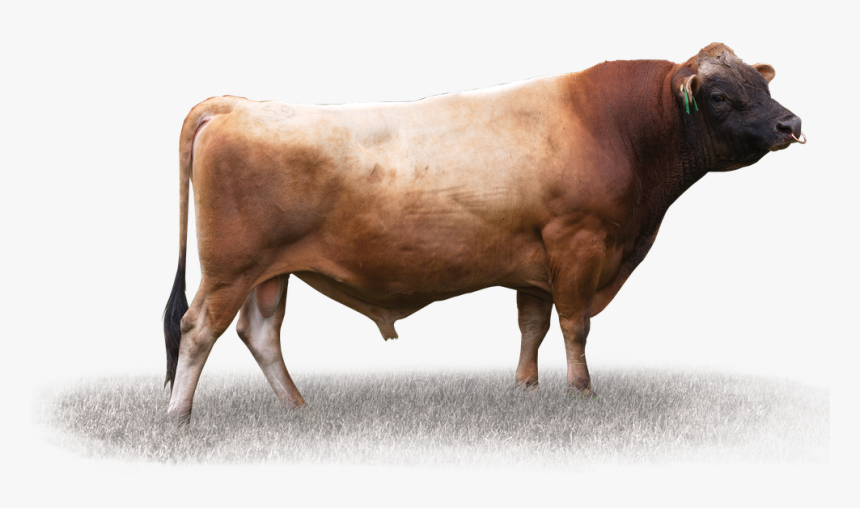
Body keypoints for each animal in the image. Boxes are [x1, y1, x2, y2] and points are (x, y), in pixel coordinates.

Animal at [163, 43, 803, 423]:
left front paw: (525, 390)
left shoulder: (536, 260)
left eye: (764, 86)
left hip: (271, 271)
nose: (790, 123)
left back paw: (298, 409)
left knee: (260, 333)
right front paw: (581, 392)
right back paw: (178, 416)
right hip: (231, 268)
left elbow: (532, 325)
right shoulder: (578, 243)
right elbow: (574, 325)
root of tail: (235, 105)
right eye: (719, 95)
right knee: (198, 329)